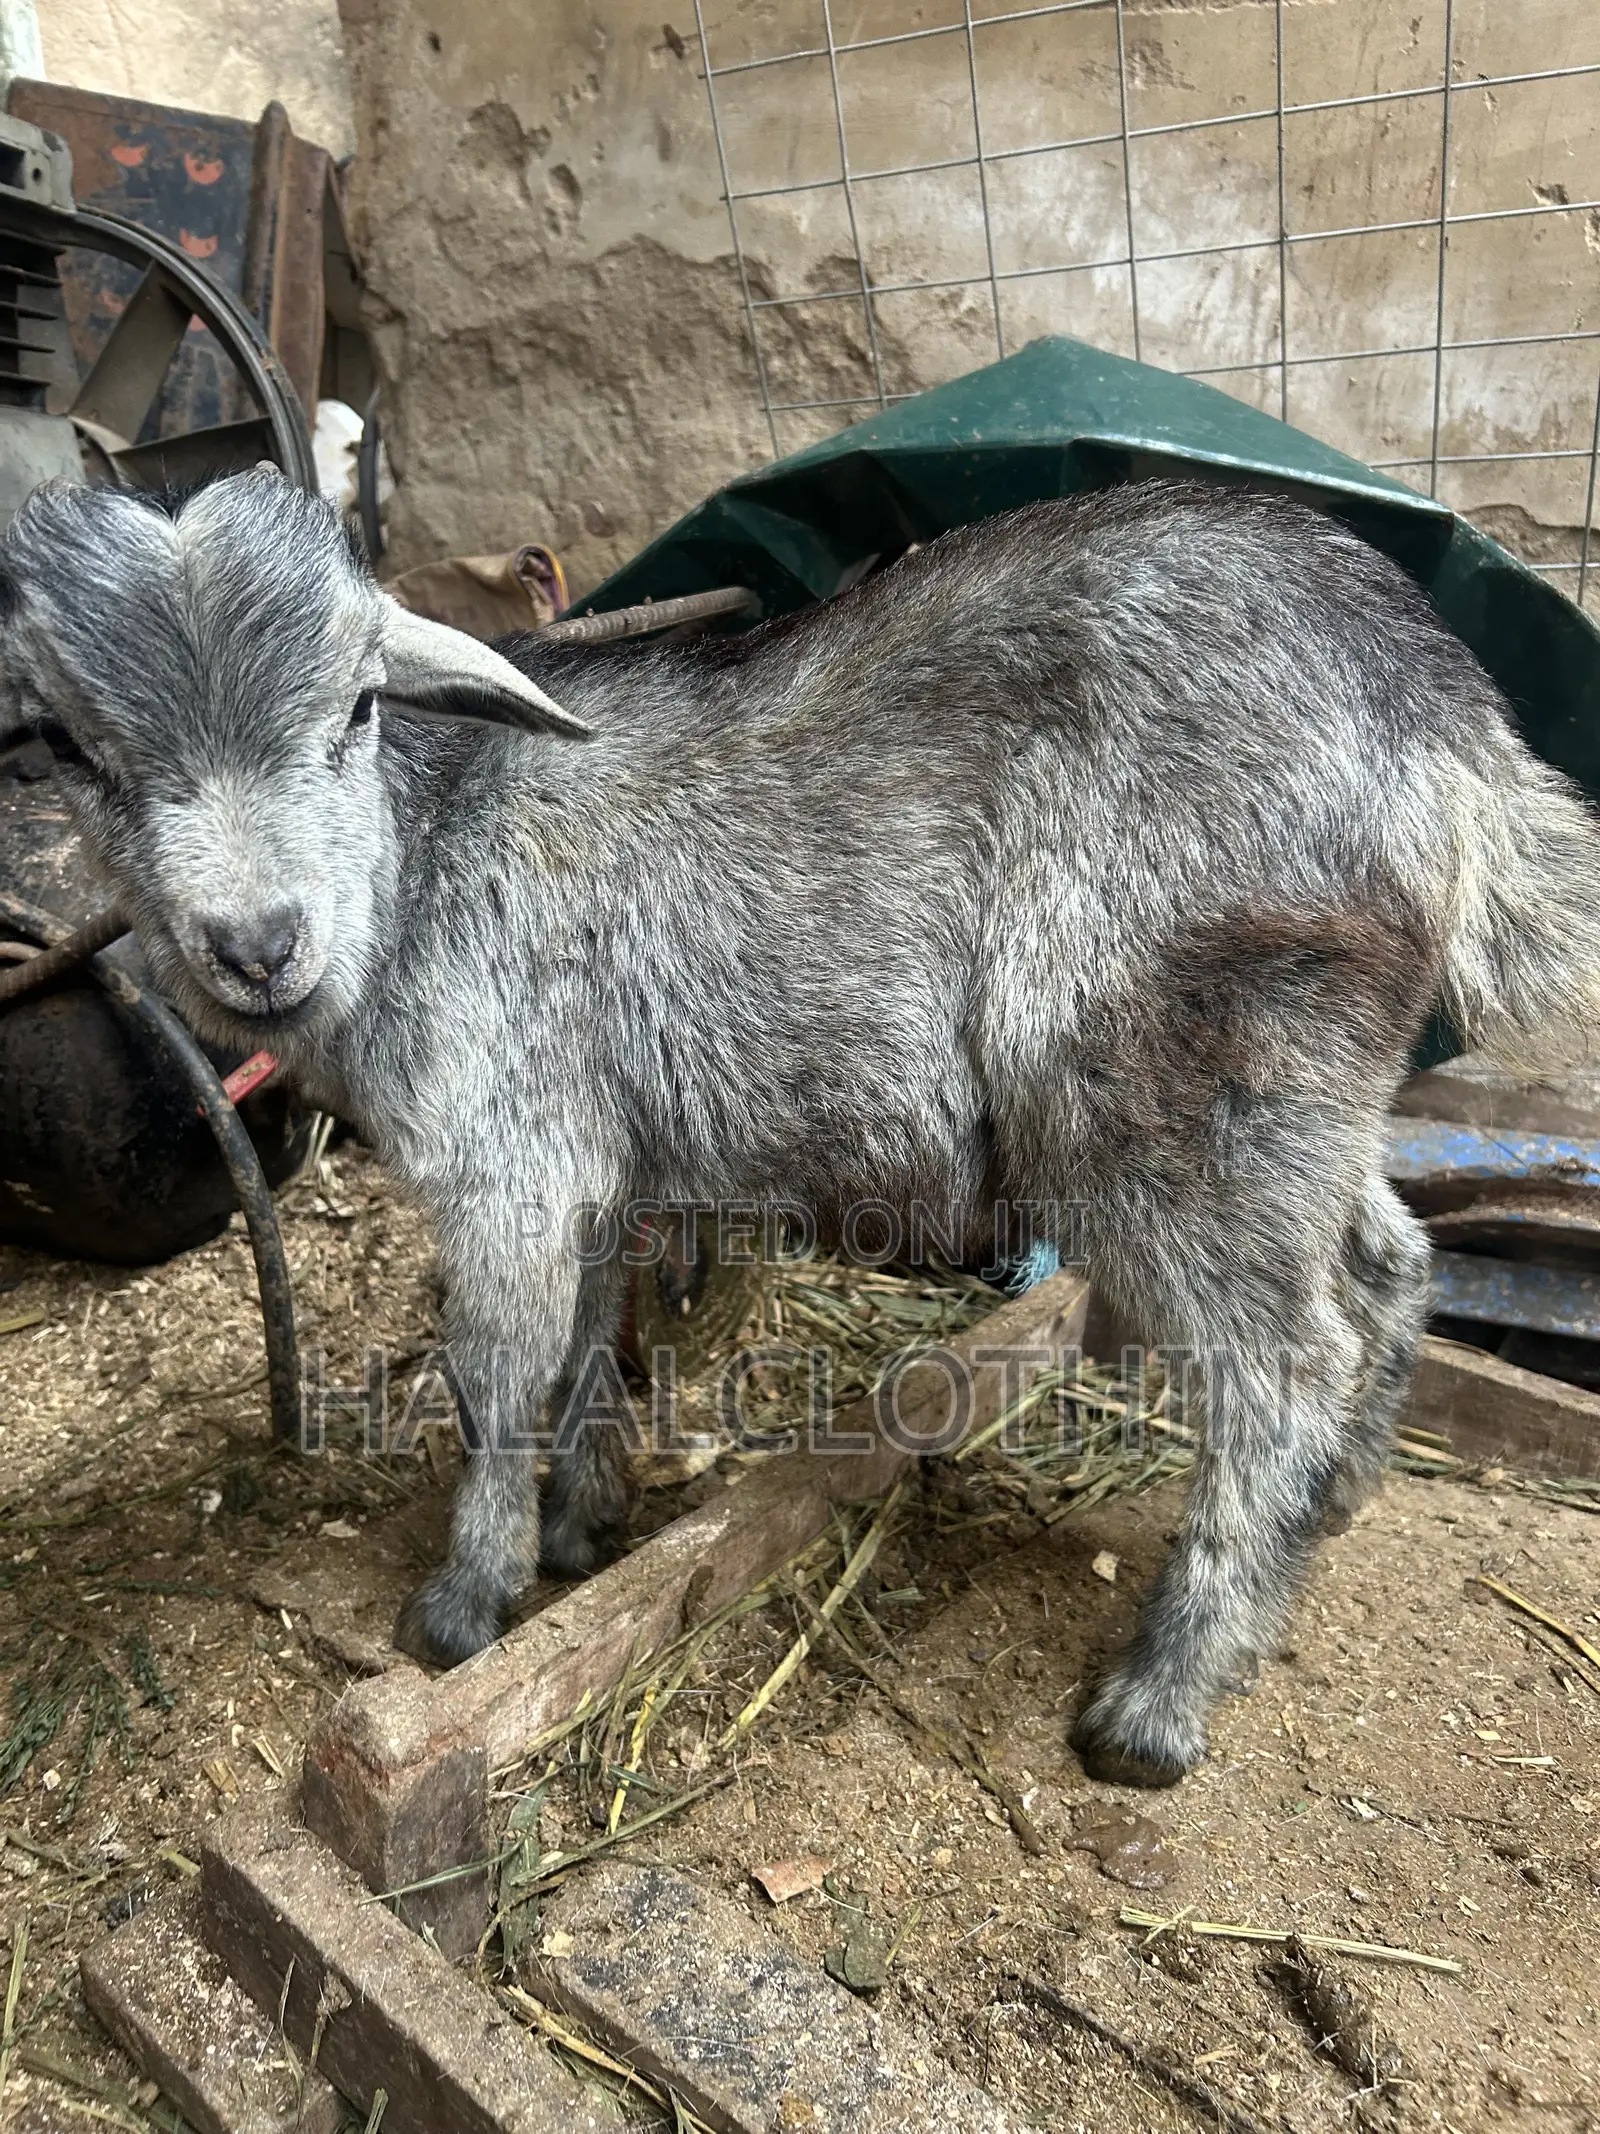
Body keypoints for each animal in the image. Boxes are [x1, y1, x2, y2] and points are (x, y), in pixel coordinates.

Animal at [4, 467, 1598, 1786]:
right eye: (75, 748)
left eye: (353, 709)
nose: (255, 944)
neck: (424, 859)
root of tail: (1455, 744)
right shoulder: (592, 1154)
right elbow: (588, 1341)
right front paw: (582, 1529)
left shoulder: (505, 1148)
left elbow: (497, 1372)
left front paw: (462, 1608)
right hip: (1302, 1090)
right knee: (1385, 1261)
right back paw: (1332, 1510)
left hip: (1165, 1078)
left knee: (1283, 1362)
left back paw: (1161, 1700)